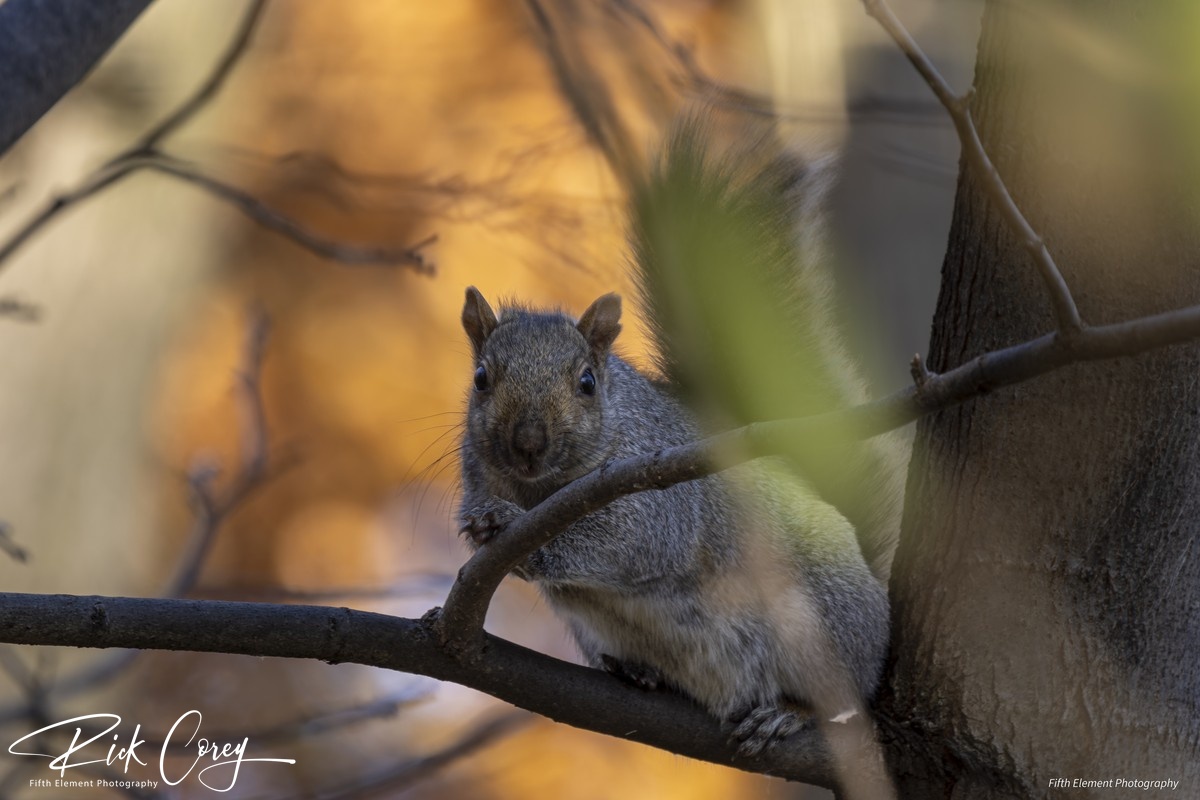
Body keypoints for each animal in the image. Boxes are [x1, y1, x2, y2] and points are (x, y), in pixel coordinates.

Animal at [457, 123, 902, 763]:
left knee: (842, 698)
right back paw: (641, 671)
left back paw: (787, 715)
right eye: (480, 379)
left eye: (587, 382)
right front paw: (482, 522)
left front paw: (519, 536)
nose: (528, 443)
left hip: (826, 627)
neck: (541, 486)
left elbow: (628, 540)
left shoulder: (660, 495)